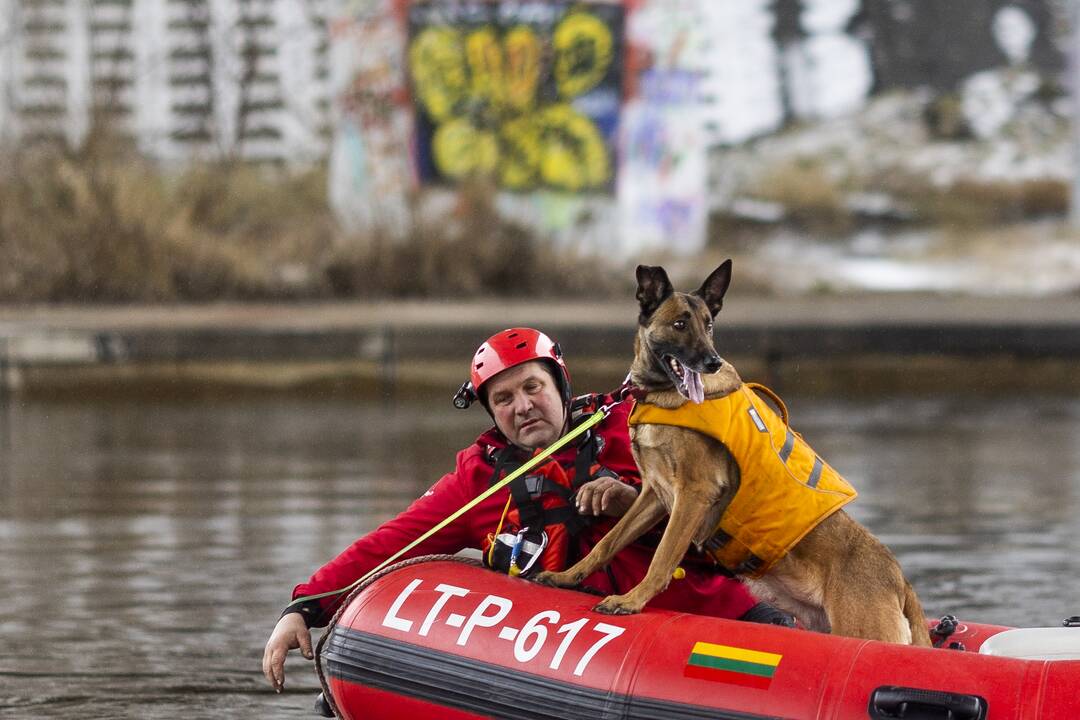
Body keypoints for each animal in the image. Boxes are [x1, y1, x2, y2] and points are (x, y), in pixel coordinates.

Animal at [535, 262, 933, 643]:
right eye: (680, 324)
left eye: (709, 326)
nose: (711, 361)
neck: (664, 396)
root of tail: (900, 578)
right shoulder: (654, 495)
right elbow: (608, 540)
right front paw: (568, 576)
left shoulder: (693, 494)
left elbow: (662, 557)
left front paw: (631, 601)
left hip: (862, 628)